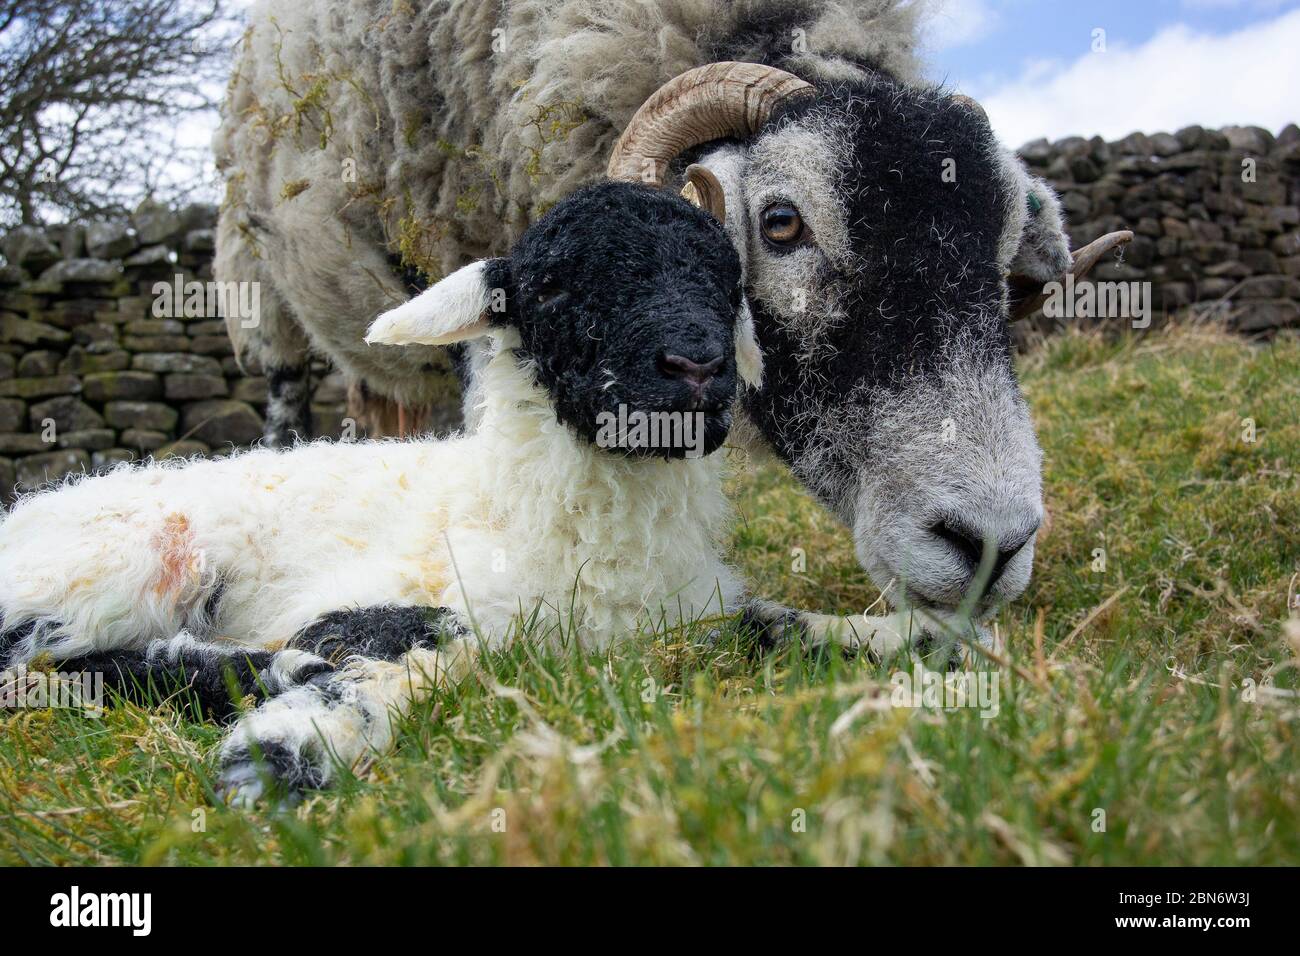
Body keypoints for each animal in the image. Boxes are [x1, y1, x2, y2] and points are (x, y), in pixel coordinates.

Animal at [0, 180, 935, 806]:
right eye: (550, 285)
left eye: (726, 277)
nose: (698, 370)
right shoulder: (400, 598)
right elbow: (426, 647)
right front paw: (288, 746)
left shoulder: (686, 610)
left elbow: (781, 622)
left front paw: (914, 634)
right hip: (124, 556)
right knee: (36, 663)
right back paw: (274, 675)